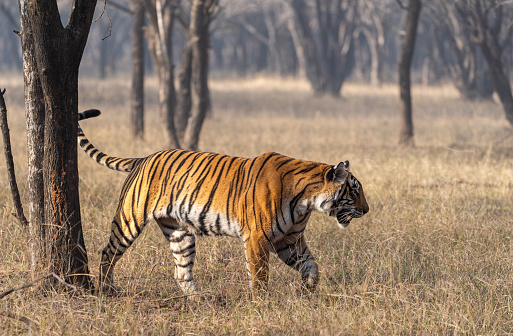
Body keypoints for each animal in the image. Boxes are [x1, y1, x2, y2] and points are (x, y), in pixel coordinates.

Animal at [77, 109, 368, 296]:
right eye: (354, 191)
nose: (366, 210)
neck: (306, 202)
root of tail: (143, 157)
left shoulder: (290, 241)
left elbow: (312, 266)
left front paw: (306, 289)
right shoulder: (257, 238)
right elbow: (260, 275)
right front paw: (262, 304)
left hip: (180, 233)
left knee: (181, 271)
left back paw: (198, 299)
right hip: (129, 219)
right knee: (107, 252)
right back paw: (106, 289)